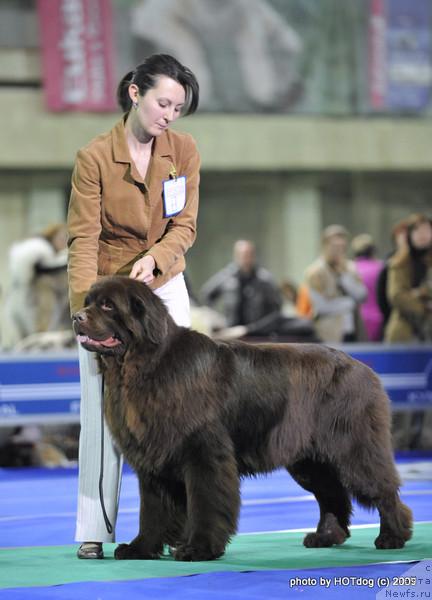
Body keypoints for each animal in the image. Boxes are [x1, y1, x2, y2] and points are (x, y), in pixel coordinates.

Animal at [73, 276, 412, 564]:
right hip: (309, 461)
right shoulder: (153, 457)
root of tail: (363, 367)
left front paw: (198, 549)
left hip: (354, 448)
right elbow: (153, 509)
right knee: (332, 494)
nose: (76, 316)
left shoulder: (204, 453)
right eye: (88, 301)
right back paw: (326, 536)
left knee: (383, 488)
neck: (144, 366)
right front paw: (141, 548)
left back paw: (392, 536)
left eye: (107, 305)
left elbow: (204, 503)